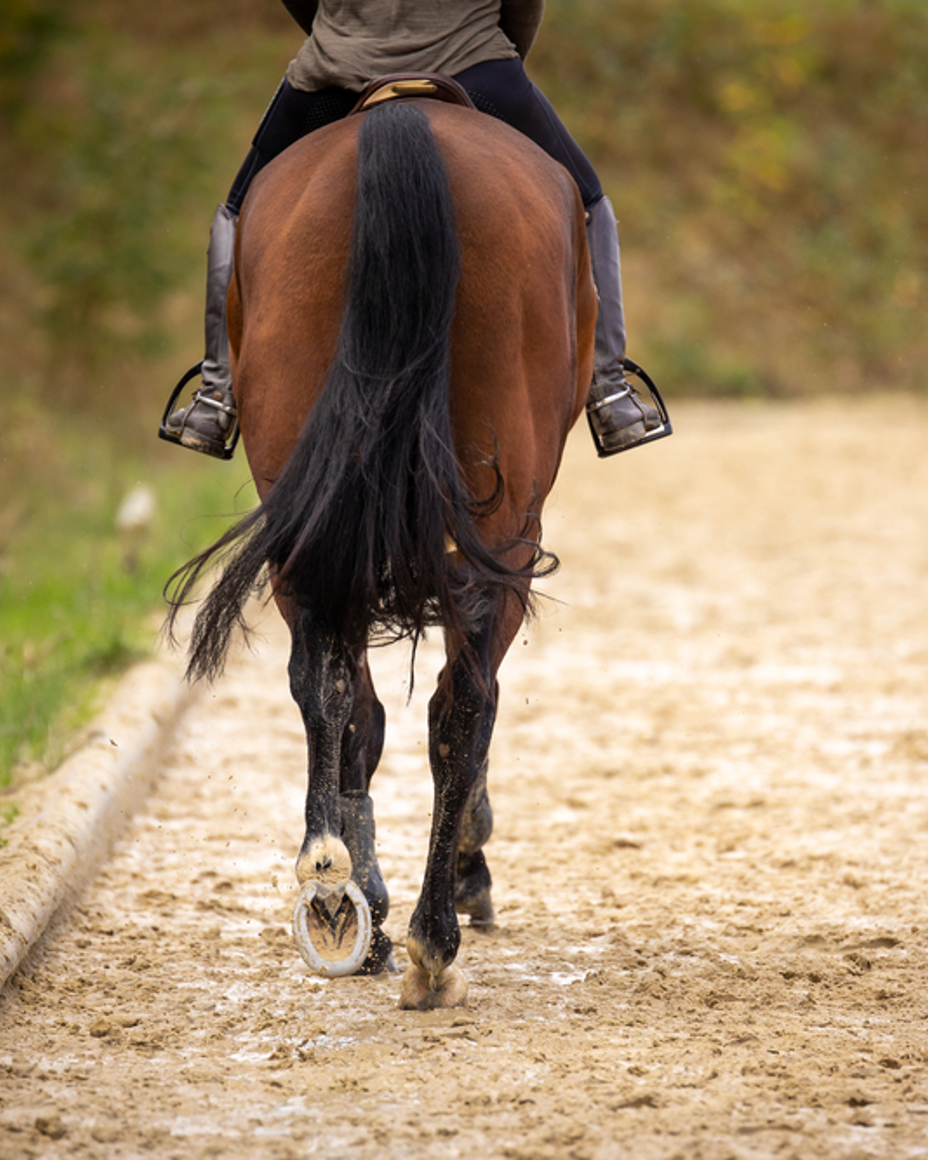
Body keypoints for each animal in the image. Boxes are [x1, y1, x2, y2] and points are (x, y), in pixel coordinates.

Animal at [168, 90, 593, 1006]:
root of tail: (404, 119)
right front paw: (465, 868)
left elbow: (352, 708)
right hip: (504, 528)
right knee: (459, 702)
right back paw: (432, 935)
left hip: (310, 512)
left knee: (333, 691)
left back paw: (335, 896)